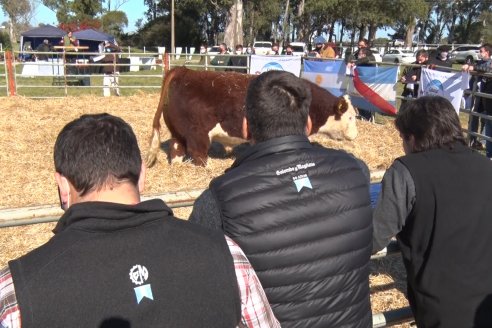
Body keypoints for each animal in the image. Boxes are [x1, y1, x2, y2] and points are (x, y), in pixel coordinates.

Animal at [146, 68, 358, 168]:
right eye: (350, 117)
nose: (356, 135)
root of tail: (183, 70)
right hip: (198, 135)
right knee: (198, 155)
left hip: (178, 133)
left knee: (176, 151)